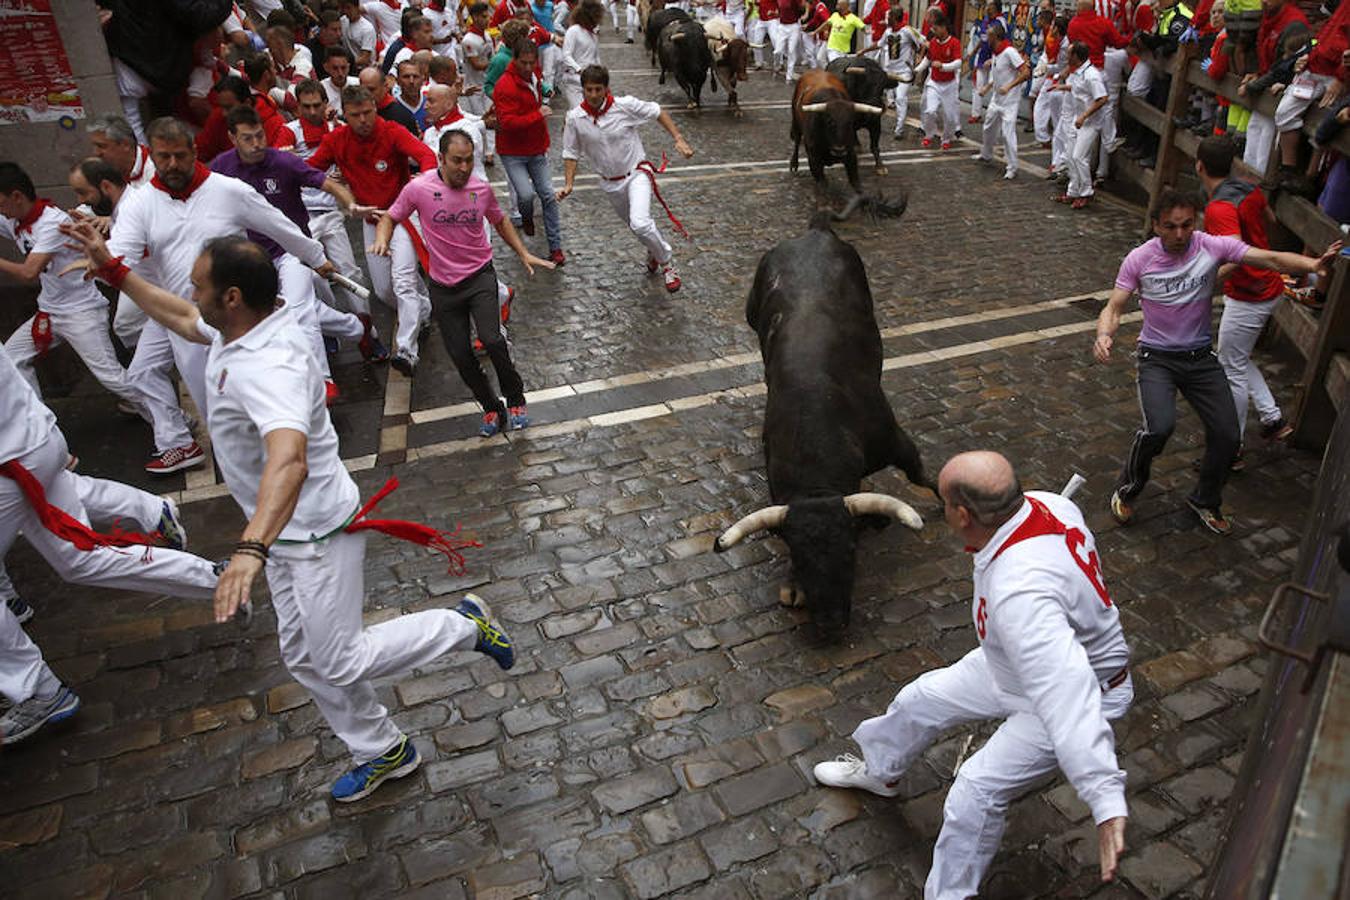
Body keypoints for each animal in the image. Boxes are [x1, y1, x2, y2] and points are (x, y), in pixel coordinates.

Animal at [712, 214, 934, 631]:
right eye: (797, 555)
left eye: (851, 549)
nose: (830, 622)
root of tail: (815, 231)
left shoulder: (895, 442)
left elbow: (921, 475)